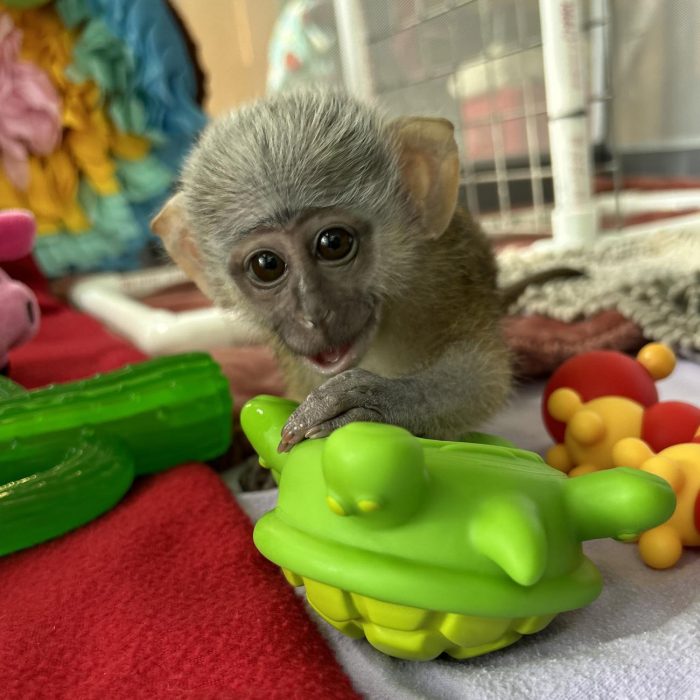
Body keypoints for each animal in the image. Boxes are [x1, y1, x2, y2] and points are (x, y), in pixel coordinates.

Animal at [153, 91, 512, 454]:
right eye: (267, 265)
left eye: (333, 243)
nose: (313, 314)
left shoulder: (444, 276)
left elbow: (482, 377)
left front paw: (377, 399)